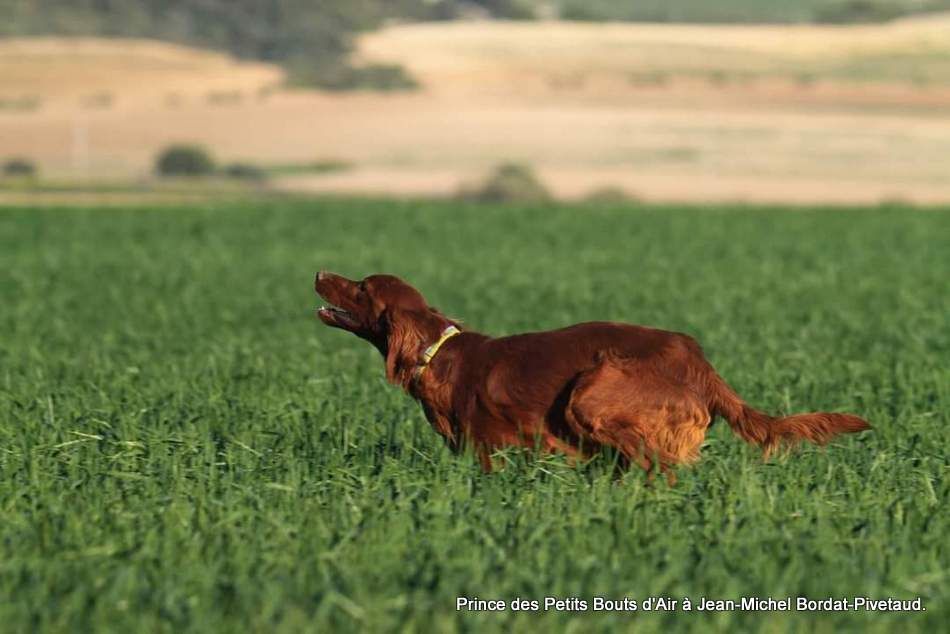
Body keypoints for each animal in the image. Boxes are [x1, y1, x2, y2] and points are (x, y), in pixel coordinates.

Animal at [316, 270, 872, 482]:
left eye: (361, 287)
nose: (320, 273)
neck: (439, 354)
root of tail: (695, 357)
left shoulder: (492, 450)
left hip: (590, 393)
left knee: (657, 469)